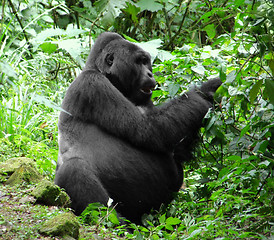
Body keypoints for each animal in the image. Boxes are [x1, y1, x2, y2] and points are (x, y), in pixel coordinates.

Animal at [54, 31, 222, 223]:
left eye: (147, 62)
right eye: (139, 61)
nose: (150, 73)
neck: (101, 71)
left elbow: (172, 143)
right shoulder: (93, 84)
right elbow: (149, 130)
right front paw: (205, 92)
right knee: (73, 169)